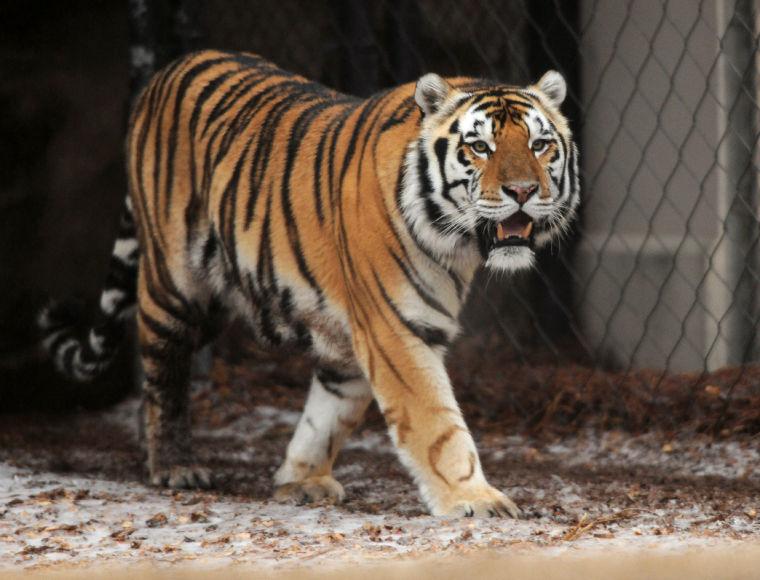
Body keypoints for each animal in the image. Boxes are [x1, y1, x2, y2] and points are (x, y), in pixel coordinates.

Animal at [40, 49, 576, 516]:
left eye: (539, 144)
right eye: (480, 146)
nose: (523, 191)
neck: (457, 245)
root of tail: (163, 73)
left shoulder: (355, 342)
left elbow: (327, 417)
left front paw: (300, 479)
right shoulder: (398, 331)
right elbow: (437, 425)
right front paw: (475, 499)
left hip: (214, 299)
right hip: (173, 284)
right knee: (163, 369)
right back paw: (173, 465)